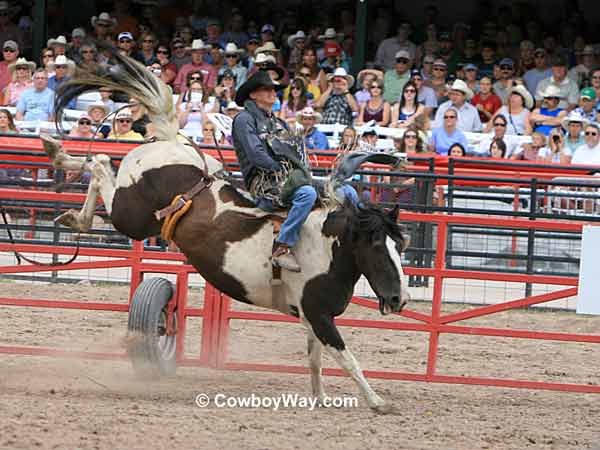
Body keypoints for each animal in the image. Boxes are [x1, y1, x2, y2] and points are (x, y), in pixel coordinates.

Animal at [41, 46, 408, 414]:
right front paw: (378, 402)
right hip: (130, 214)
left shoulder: (311, 317)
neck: (325, 246)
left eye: (400, 246)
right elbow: (347, 360)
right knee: (101, 165)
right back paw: (60, 165)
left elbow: (315, 360)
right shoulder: (319, 316)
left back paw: (65, 185)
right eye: (377, 246)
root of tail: (172, 141)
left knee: (99, 162)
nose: (399, 299)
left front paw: (319, 399)